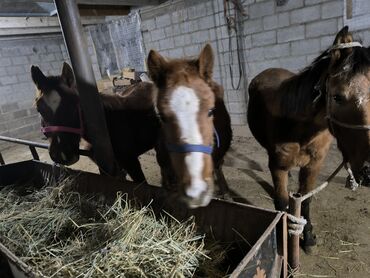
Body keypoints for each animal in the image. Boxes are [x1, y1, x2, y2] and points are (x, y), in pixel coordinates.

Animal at [247, 27, 370, 253]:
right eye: (337, 97)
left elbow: (305, 200)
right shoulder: (278, 166)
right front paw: (282, 240)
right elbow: (281, 202)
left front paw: (308, 237)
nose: (368, 171)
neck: (300, 129)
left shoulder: (314, 165)